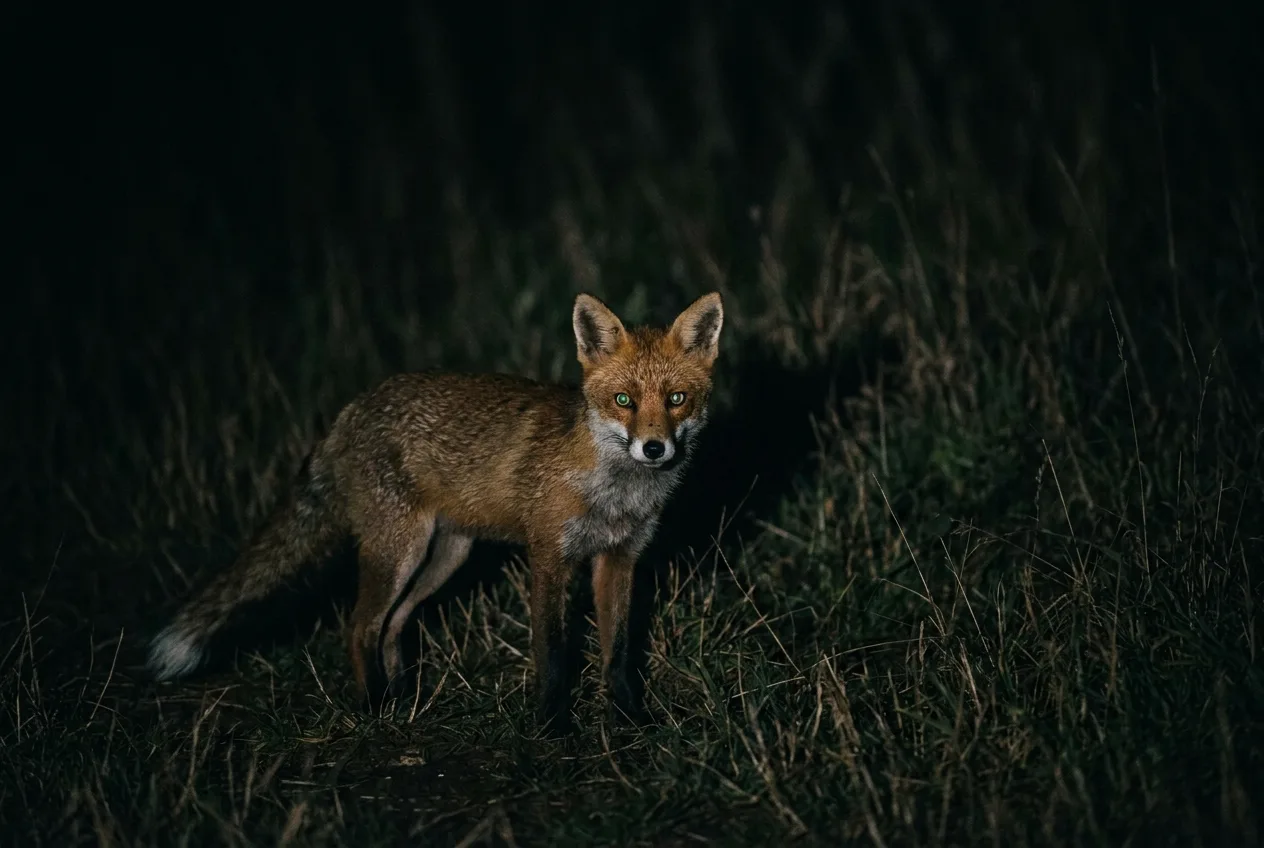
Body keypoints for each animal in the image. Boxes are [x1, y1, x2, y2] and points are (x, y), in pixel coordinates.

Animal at [146, 291, 724, 735]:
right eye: (624, 400)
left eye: (676, 398)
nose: (654, 448)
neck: (615, 493)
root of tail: (351, 409)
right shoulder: (549, 557)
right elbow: (554, 652)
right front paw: (552, 727)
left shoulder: (619, 559)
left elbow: (618, 652)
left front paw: (631, 720)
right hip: (399, 551)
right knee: (359, 626)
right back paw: (374, 708)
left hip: (444, 557)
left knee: (393, 624)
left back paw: (402, 696)